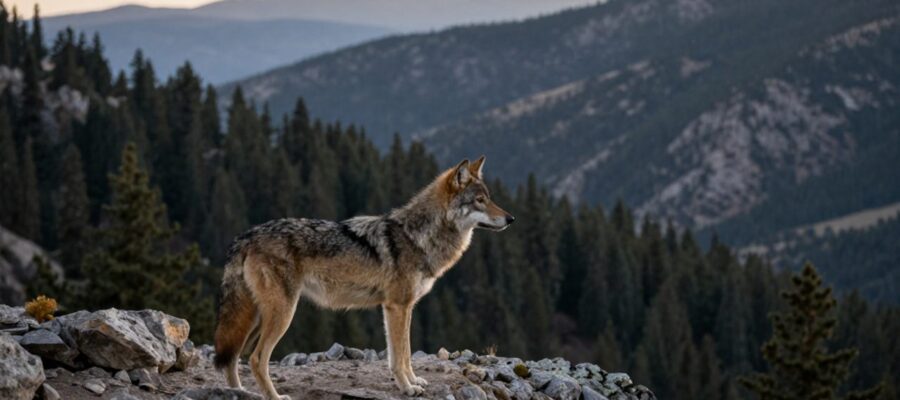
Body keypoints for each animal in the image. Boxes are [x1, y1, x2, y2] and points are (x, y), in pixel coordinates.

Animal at [213, 156, 514, 399]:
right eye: (480, 200)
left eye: (490, 197)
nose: (511, 219)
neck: (418, 237)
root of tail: (246, 236)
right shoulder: (396, 307)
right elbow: (400, 355)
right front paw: (407, 388)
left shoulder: (404, 307)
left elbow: (404, 353)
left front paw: (414, 382)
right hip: (282, 314)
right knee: (255, 359)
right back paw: (274, 396)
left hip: (255, 317)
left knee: (234, 357)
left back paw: (238, 392)